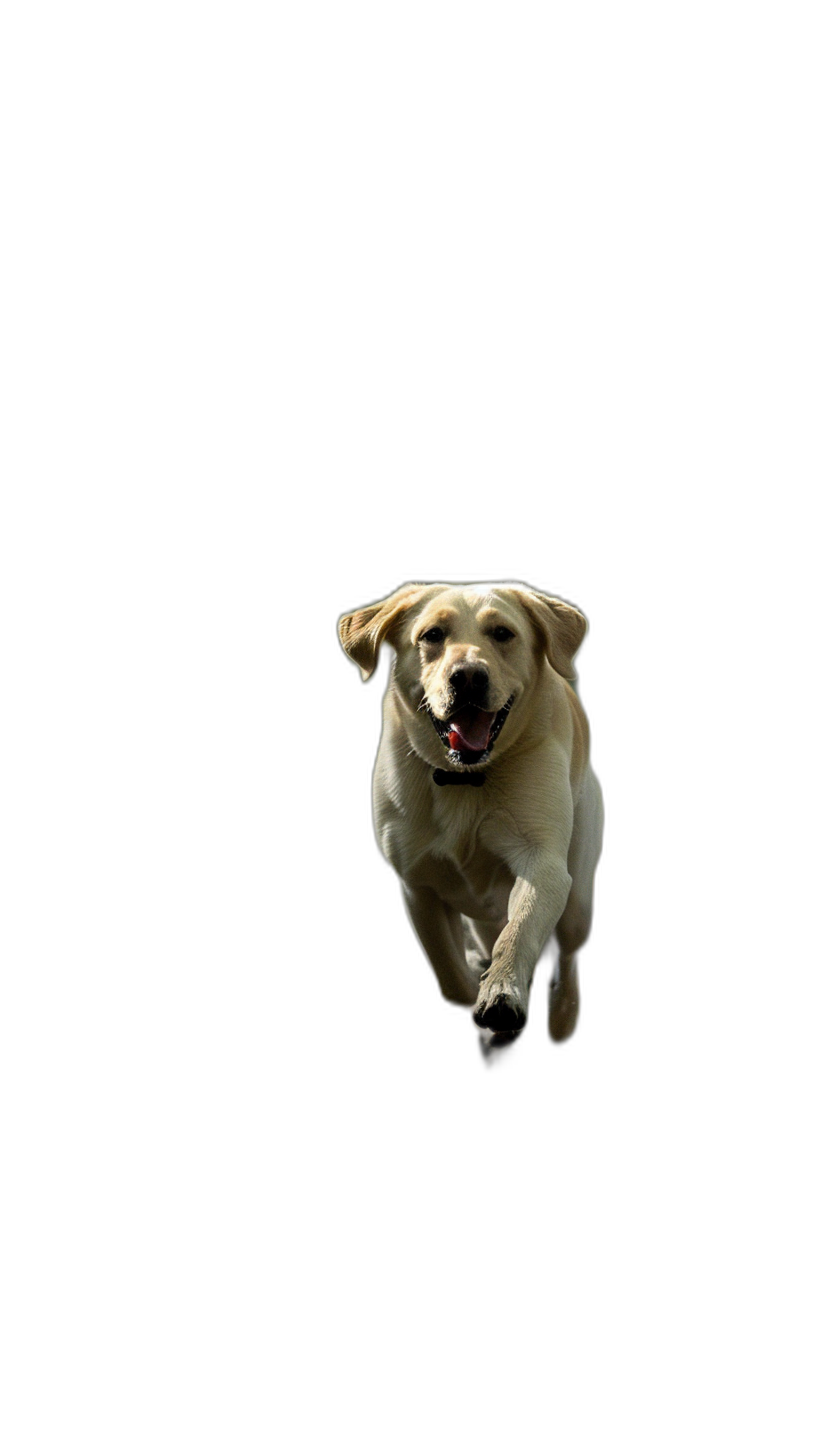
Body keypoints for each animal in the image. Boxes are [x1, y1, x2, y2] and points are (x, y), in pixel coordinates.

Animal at [339, 585, 606, 1054]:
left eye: (502, 633)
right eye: (432, 635)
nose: (467, 677)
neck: (465, 777)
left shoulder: (543, 866)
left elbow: (520, 933)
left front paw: (501, 993)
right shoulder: (418, 883)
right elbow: (449, 974)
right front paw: (474, 991)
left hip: (578, 897)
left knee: (568, 951)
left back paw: (562, 1015)